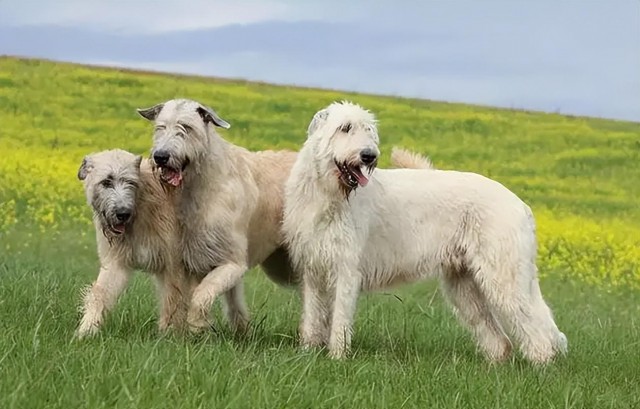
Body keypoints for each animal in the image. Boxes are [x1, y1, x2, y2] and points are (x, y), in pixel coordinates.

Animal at [282, 100, 568, 362]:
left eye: (368, 129)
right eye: (345, 127)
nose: (369, 156)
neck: (328, 194)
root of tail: (522, 206)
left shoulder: (346, 268)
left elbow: (340, 317)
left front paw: (337, 358)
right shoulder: (313, 268)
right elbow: (312, 315)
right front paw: (307, 354)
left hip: (504, 274)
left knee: (534, 326)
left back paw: (541, 366)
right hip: (464, 284)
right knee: (499, 337)